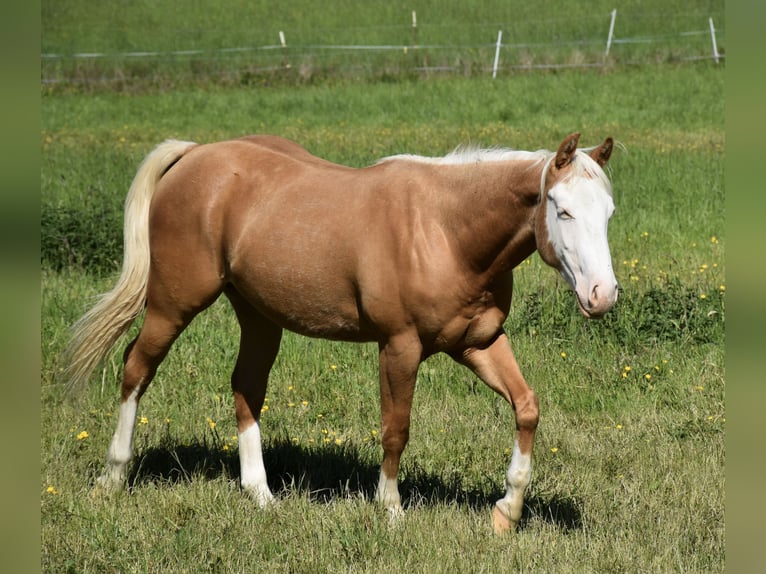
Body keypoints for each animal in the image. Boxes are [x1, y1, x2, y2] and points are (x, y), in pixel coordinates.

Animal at [64, 132, 617, 533]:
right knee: (136, 368)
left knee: (246, 387)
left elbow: (526, 408)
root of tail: (196, 154)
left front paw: (508, 511)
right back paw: (112, 477)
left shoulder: (478, 344)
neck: (446, 230)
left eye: (608, 212)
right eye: (562, 209)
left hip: (258, 316)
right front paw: (390, 510)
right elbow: (396, 429)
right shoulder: (399, 347)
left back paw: (261, 494)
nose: (602, 295)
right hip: (173, 304)